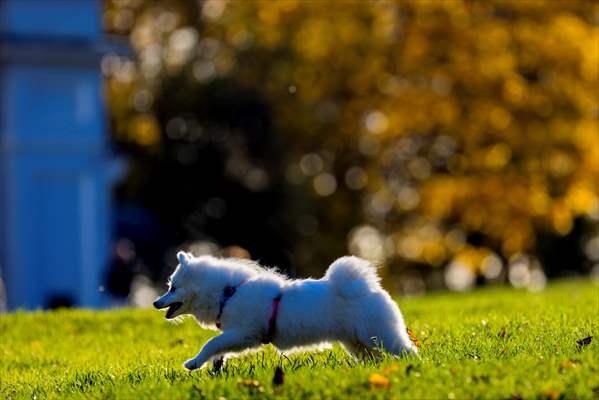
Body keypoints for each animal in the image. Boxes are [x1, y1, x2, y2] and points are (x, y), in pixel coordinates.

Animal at [154, 252, 418, 370]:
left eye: (172, 287)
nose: (156, 302)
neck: (227, 293)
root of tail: (365, 287)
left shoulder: (243, 334)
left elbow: (211, 344)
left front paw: (193, 363)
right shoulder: (236, 336)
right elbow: (217, 349)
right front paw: (214, 368)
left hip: (380, 334)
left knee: (406, 349)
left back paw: (416, 365)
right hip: (357, 343)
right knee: (375, 357)